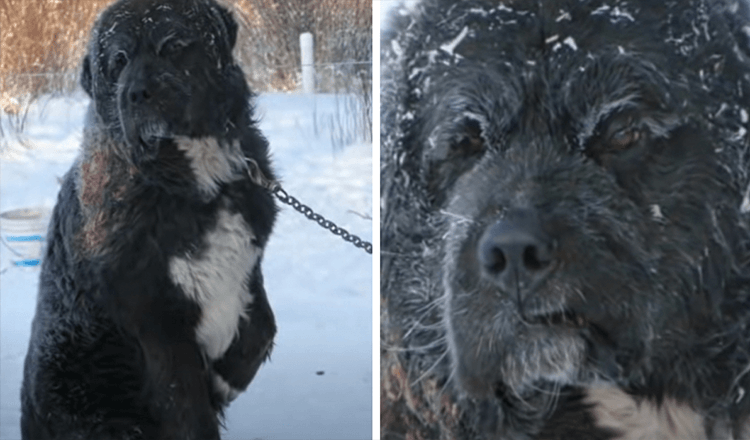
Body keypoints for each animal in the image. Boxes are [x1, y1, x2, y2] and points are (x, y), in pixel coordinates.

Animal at [22, 1, 280, 438]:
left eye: (172, 45)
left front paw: (225, 378)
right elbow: (187, 407)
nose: (137, 93)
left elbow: (263, 326)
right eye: (119, 60)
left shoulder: (246, 267)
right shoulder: (156, 321)